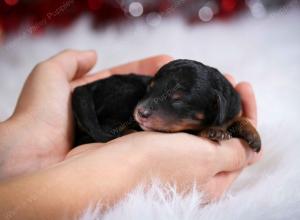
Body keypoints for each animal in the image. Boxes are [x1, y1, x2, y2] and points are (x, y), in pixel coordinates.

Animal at [72, 58, 260, 152]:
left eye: (177, 99)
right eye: (149, 88)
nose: (140, 112)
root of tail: (88, 86)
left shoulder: (233, 109)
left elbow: (239, 118)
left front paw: (253, 135)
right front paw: (214, 132)